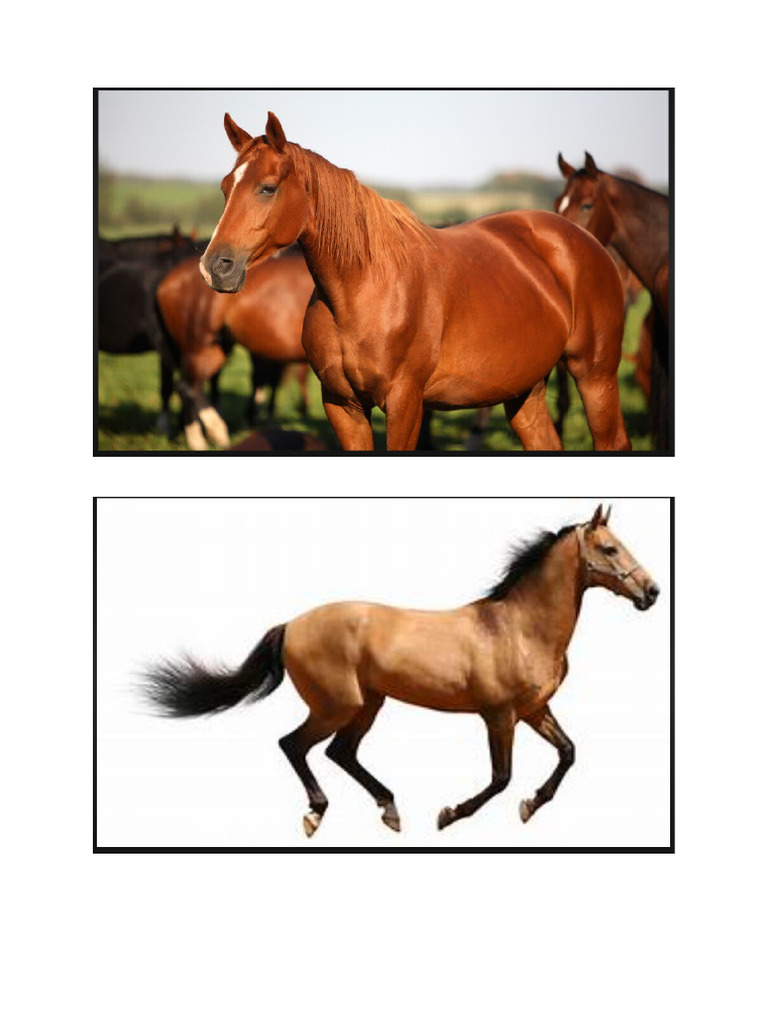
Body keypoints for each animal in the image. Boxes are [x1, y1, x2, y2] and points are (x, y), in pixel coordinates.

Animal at [143, 504, 659, 836]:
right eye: (610, 549)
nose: (652, 592)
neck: (518, 628)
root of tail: (291, 625)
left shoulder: (534, 710)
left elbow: (568, 753)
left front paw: (531, 806)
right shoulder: (499, 715)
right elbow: (501, 778)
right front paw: (449, 815)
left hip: (368, 704)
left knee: (340, 753)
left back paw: (389, 810)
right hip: (338, 705)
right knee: (295, 745)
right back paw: (317, 815)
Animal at [156, 244, 313, 449]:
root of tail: (167, 281)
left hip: (215, 350)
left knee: (190, 386)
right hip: (196, 349)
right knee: (187, 387)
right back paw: (202, 439)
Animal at [198, 112, 631, 451]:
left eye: (267, 187)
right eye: (224, 187)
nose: (215, 267)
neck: (362, 290)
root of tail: (583, 240)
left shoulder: (405, 403)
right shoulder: (341, 405)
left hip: (595, 376)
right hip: (525, 389)